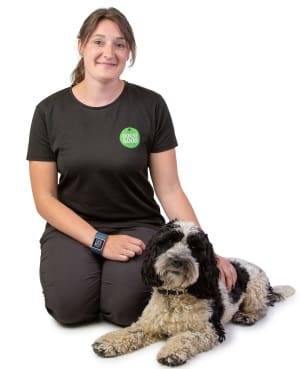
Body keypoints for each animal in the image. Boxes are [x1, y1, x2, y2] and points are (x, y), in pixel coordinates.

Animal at [93, 220, 296, 364]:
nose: (177, 260)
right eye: (168, 242)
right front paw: (108, 342)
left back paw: (247, 316)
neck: (175, 296)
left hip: (255, 291)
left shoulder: (211, 329)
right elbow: (132, 331)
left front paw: (172, 352)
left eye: (194, 247)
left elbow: (186, 336)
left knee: (262, 309)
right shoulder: (149, 324)